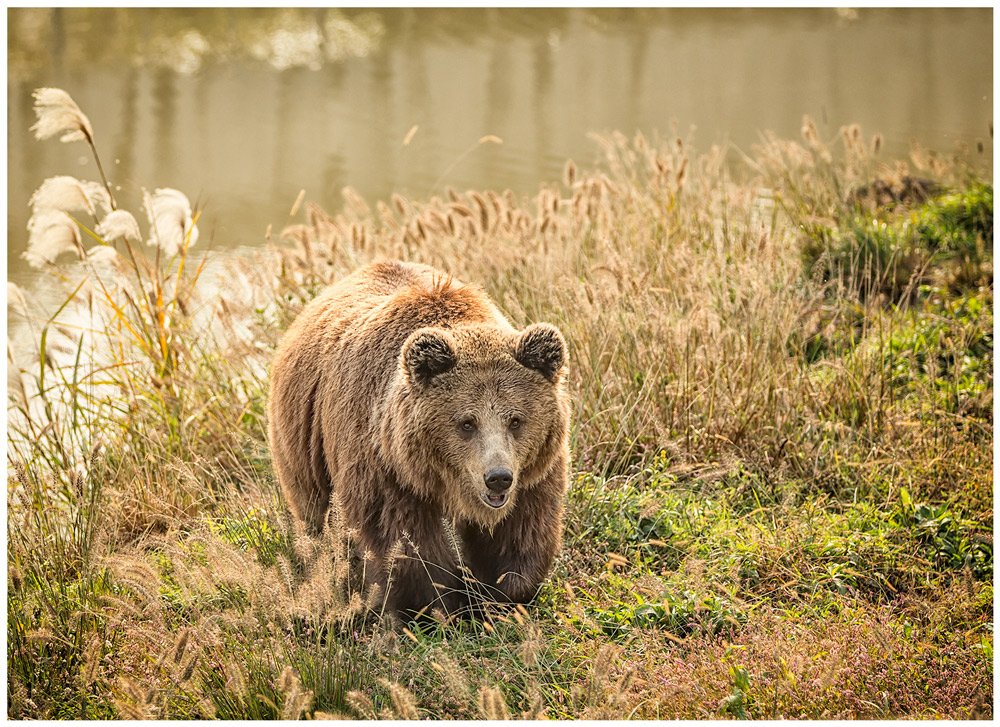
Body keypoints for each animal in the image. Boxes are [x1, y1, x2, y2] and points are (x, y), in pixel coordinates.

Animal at [268, 258, 572, 616]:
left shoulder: (535, 472)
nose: (498, 478)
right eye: (467, 423)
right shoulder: (386, 467)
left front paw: (499, 597)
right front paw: (433, 603)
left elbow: (521, 534)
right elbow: (402, 541)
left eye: (515, 420)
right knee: (314, 511)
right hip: (304, 443)